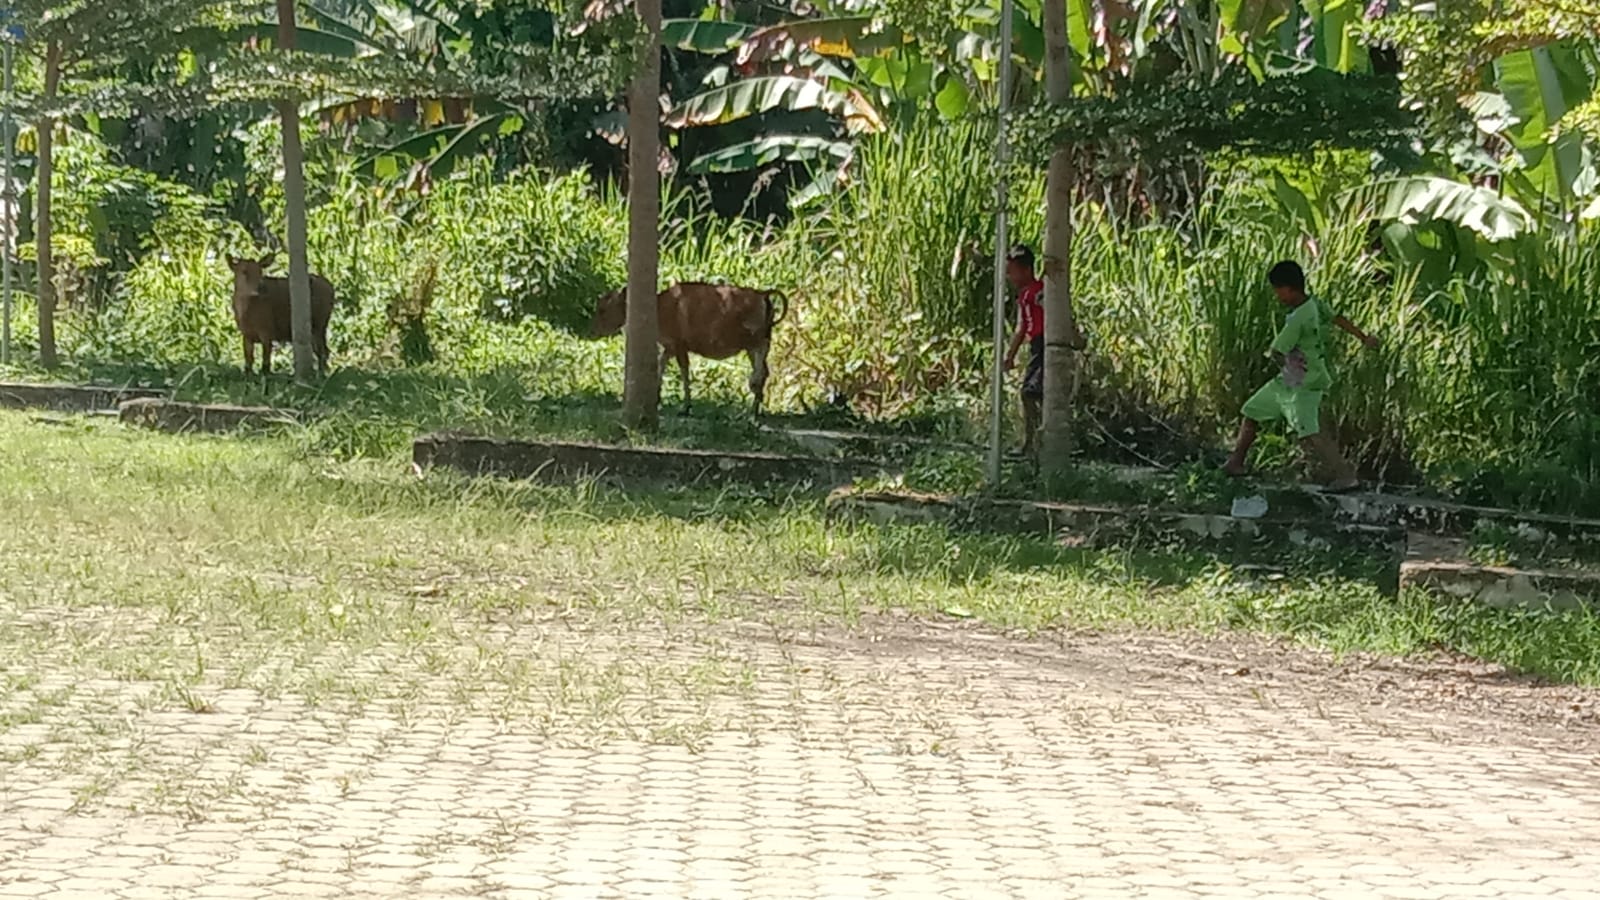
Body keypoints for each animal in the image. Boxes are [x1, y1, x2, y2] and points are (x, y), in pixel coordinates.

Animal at [588, 281, 787, 416]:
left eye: (603, 309)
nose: (595, 330)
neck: (659, 308)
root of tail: (763, 295)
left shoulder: (679, 345)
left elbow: (684, 372)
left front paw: (685, 407)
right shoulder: (670, 347)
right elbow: (661, 365)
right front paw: (657, 398)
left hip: (754, 341)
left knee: (760, 368)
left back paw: (752, 400)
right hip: (754, 346)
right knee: (765, 370)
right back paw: (755, 408)